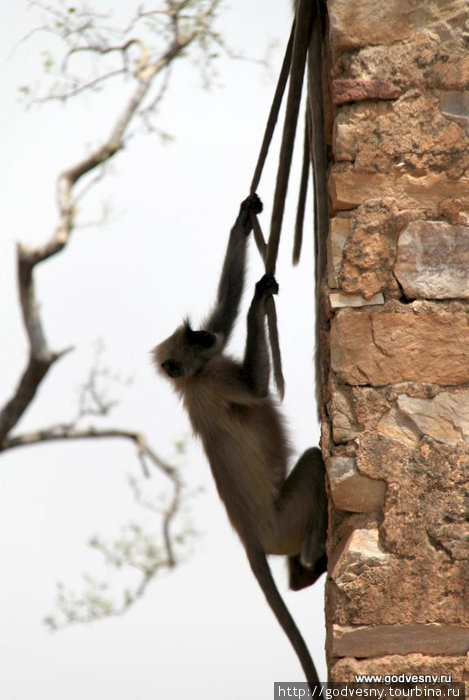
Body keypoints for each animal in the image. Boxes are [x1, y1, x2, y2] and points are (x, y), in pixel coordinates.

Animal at [153, 194, 326, 688]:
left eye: (195, 332)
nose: (202, 335)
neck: (191, 379)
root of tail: (251, 537)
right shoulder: (215, 381)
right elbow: (255, 387)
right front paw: (256, 303)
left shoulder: (210, 366)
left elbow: (226, 317)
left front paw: (244, 219)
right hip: (283, 521)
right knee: (314, 462)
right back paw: (312, 551)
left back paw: (302, 576)